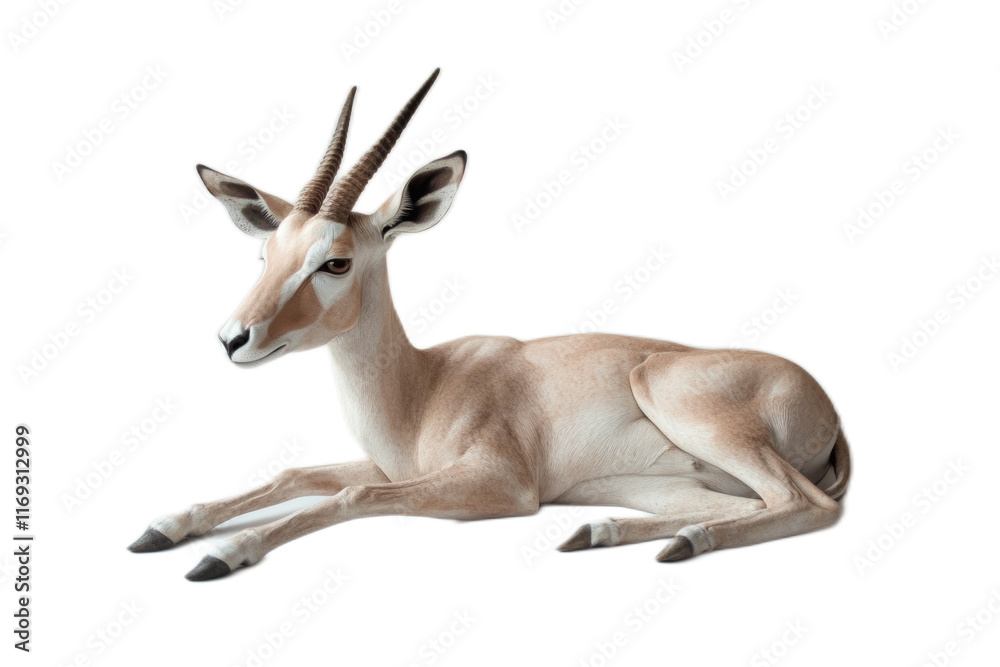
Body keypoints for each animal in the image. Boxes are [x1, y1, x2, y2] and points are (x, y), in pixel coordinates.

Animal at [129, 69, 851, 581]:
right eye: (266, 255)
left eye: (335, 260)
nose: (233, 338)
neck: (422, 387)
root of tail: (826, 405)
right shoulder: (393, 464)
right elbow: (294, 476)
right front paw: (163, 527)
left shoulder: (498, 484)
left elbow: (353, 494)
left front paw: (223, 552)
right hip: (655, 485)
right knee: (747, 505)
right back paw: (602, 534)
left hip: (689, 413)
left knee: (808, 505)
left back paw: (680, 542)